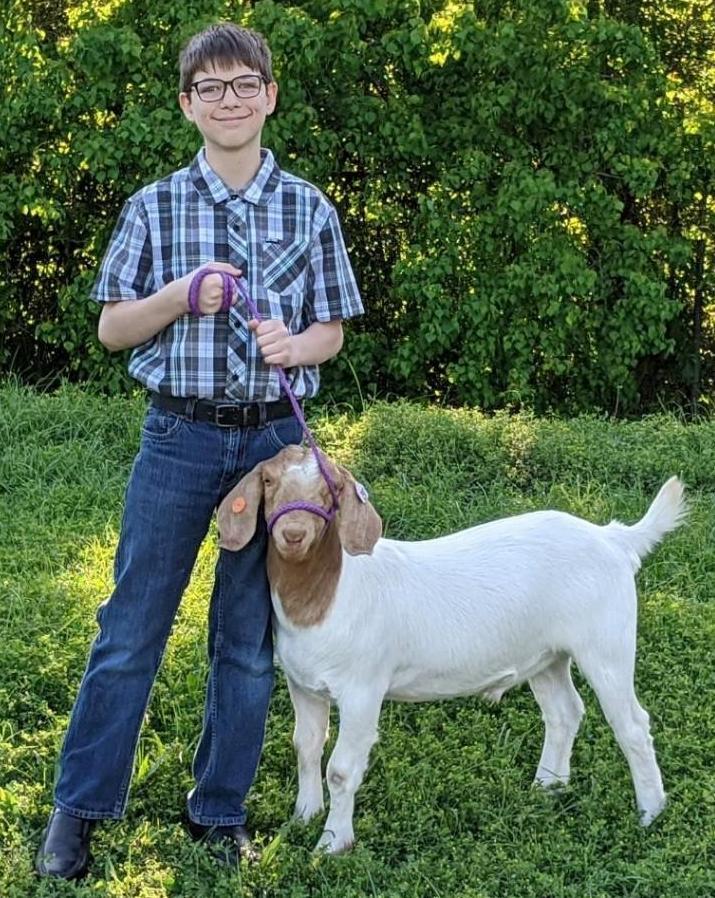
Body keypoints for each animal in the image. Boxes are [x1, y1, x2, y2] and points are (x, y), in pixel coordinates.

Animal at [215, 444, 684, 852]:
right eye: (269, 480)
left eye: (330, 490)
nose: (293, 534)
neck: (328, 593)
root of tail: (613, 539)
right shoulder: (304, 685)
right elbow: (306, 746)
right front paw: (302, 817)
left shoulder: (363, 689)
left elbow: (343, 770)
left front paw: (332, 844)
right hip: (547, 656)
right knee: (564, 712)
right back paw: (547, 787)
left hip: (607, 643)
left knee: (632, 724)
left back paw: (650, 812)